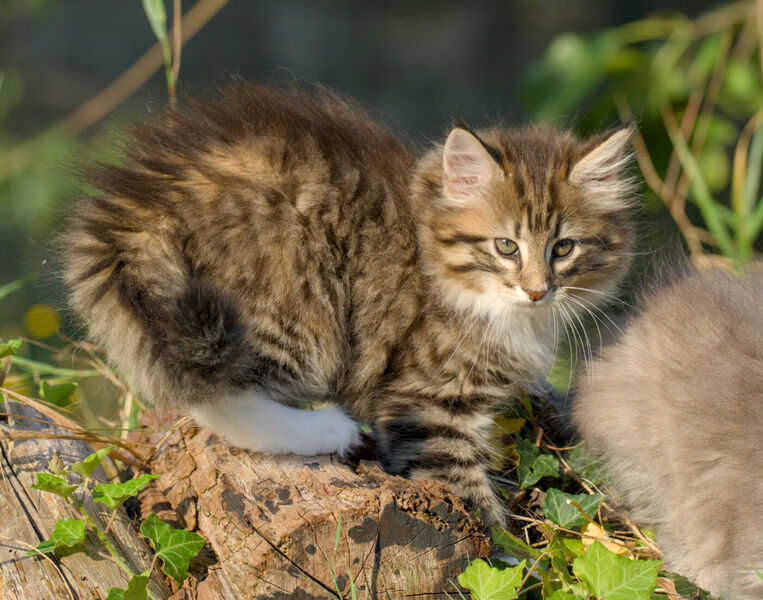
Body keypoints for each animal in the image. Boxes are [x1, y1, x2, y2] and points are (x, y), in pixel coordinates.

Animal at [59, 82, 636, 524]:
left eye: (563, 248)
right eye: (506, 246)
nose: (538, 290)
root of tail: (137, 210)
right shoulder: (426, 402)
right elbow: (470, 500)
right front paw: (506, 555)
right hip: (292, 304)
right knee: (209, 395)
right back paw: (326, 428)